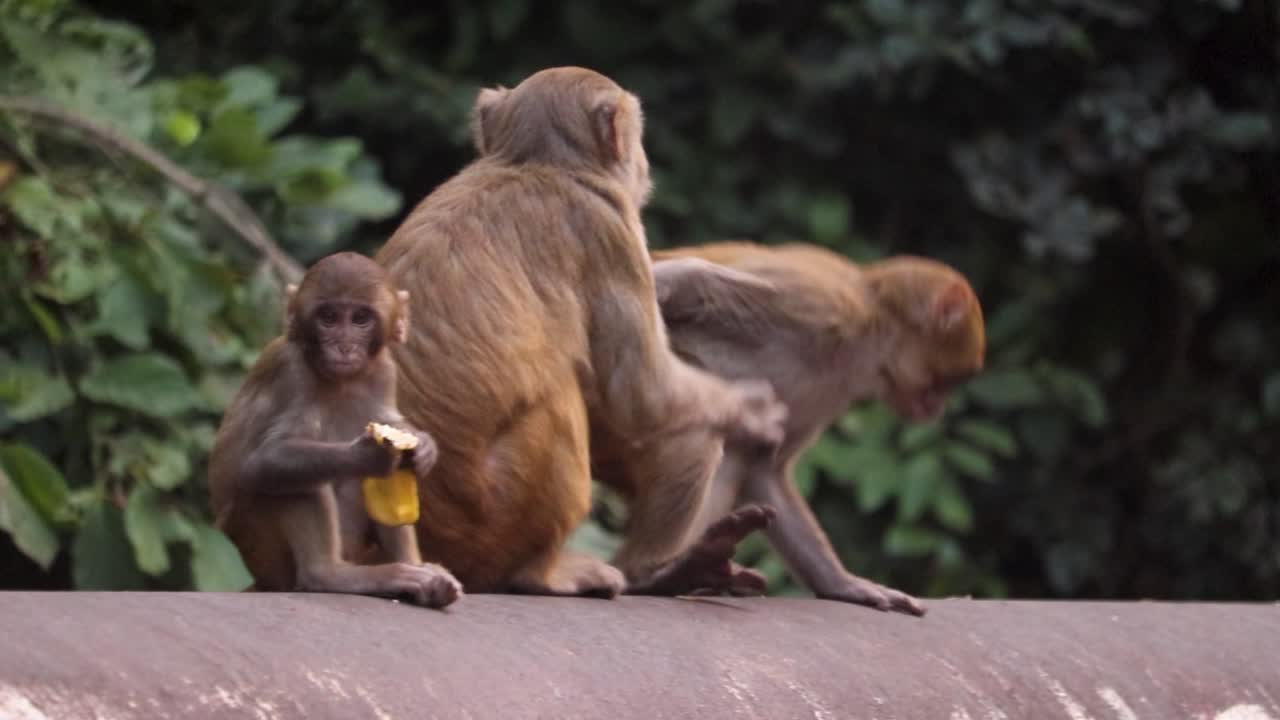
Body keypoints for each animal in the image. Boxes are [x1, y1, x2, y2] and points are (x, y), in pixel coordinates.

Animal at [209, 252, 462, 609]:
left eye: (360, 319)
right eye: (328, 318)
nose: (343, 345)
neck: (342, 382)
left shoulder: (384, 371)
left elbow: (392, 425)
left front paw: (424, 447)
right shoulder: (293, 372)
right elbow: (264, 461)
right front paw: (368, 455)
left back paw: (418, 573)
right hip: (260, 544)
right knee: (298, 479)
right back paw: (330, 574)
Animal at [376, 67, 787, 599]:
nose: (644, 164)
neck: (534, 162)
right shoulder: (607, 228)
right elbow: (644, 395)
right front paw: (750, 409)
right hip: (491, 516)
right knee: (641, 424)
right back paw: (623, 573)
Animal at [648, 241, 987, 615]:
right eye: (949, 382)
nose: (937, 410)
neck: (867, 342)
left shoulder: (829, 390)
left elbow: (763, 468)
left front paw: (842, 584)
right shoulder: (817, 302)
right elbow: (687, 281)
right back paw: (662, 574)